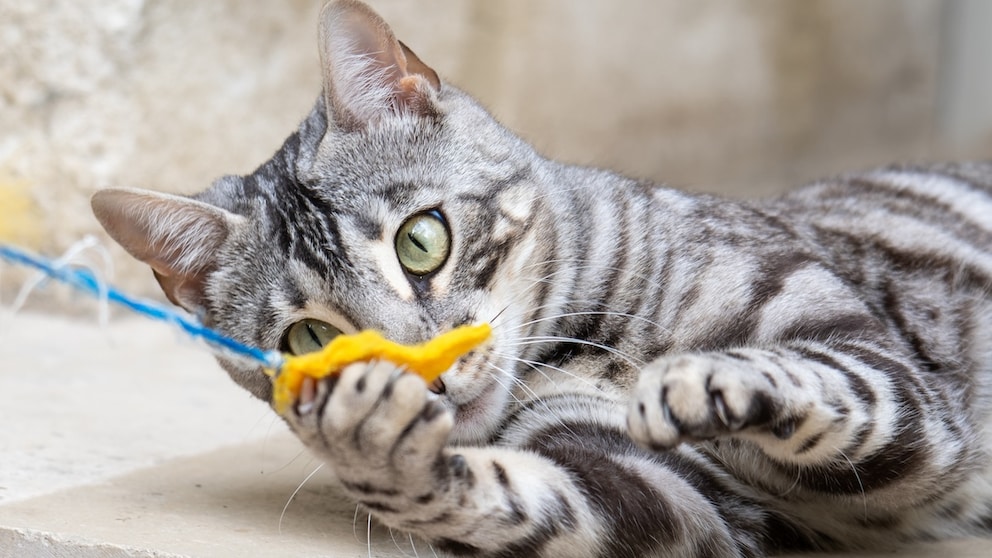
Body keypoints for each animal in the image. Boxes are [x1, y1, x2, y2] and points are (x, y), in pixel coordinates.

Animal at [87, 1, 992, 558]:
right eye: (311, 337)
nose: (433, 378)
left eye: (422, 241)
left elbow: (827, 384)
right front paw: (374, 443)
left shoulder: (890, 377)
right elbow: (520, 498)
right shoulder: (679, 508)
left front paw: (699, 379)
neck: (592, 346)